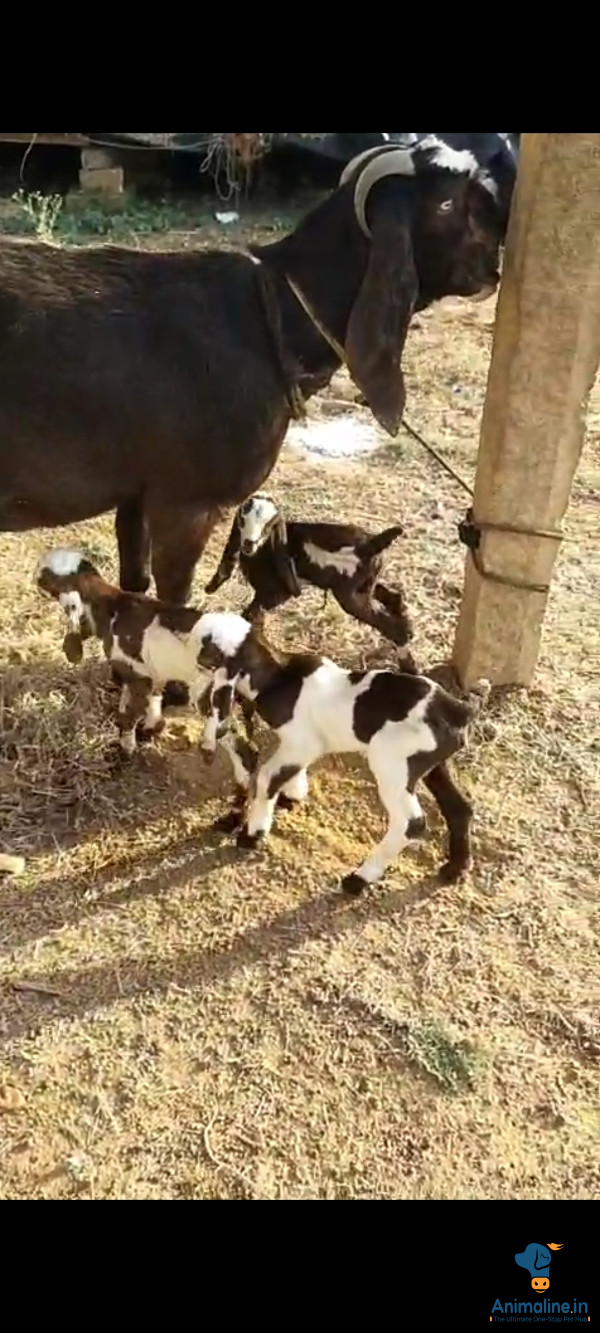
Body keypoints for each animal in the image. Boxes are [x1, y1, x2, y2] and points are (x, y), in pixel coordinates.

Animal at [193, 613, 490, 893]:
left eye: (207, 646)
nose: (194, 658)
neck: (281, 677)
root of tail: (461, 711)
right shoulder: (301, 746)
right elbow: (291, 772)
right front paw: (294, 795)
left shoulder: (303, 742)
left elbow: (267, 778)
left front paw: (252, 835)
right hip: (429, 764)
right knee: (459, 808)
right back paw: (456, 868)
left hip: (391, 765)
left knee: (411, 822)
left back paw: (359, 880)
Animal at [205, 491, 413, 648]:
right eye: (243, 518)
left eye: (268, 526)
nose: (248, 543)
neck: (265, 551)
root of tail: (372, 543)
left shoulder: (275, 594)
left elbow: (251, 617)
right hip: (364, 584)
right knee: (394, 599)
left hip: (351, 595)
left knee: (388, 625)